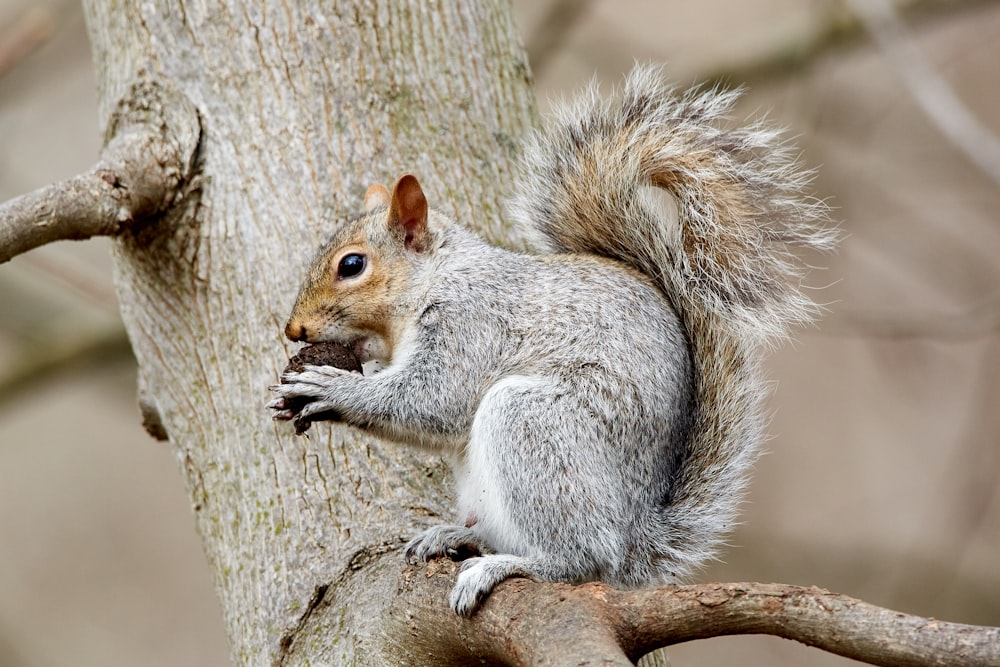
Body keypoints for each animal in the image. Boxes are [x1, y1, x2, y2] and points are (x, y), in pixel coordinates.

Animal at [268, 66, 836, 616]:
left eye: (352, 265)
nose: (294, 330)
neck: (437, 280)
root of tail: (634, 536)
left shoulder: (472, 324)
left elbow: (433, 402)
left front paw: (329, 388)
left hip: (536, 428)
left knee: (579, 560)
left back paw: (511, 566)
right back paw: (457, 536)